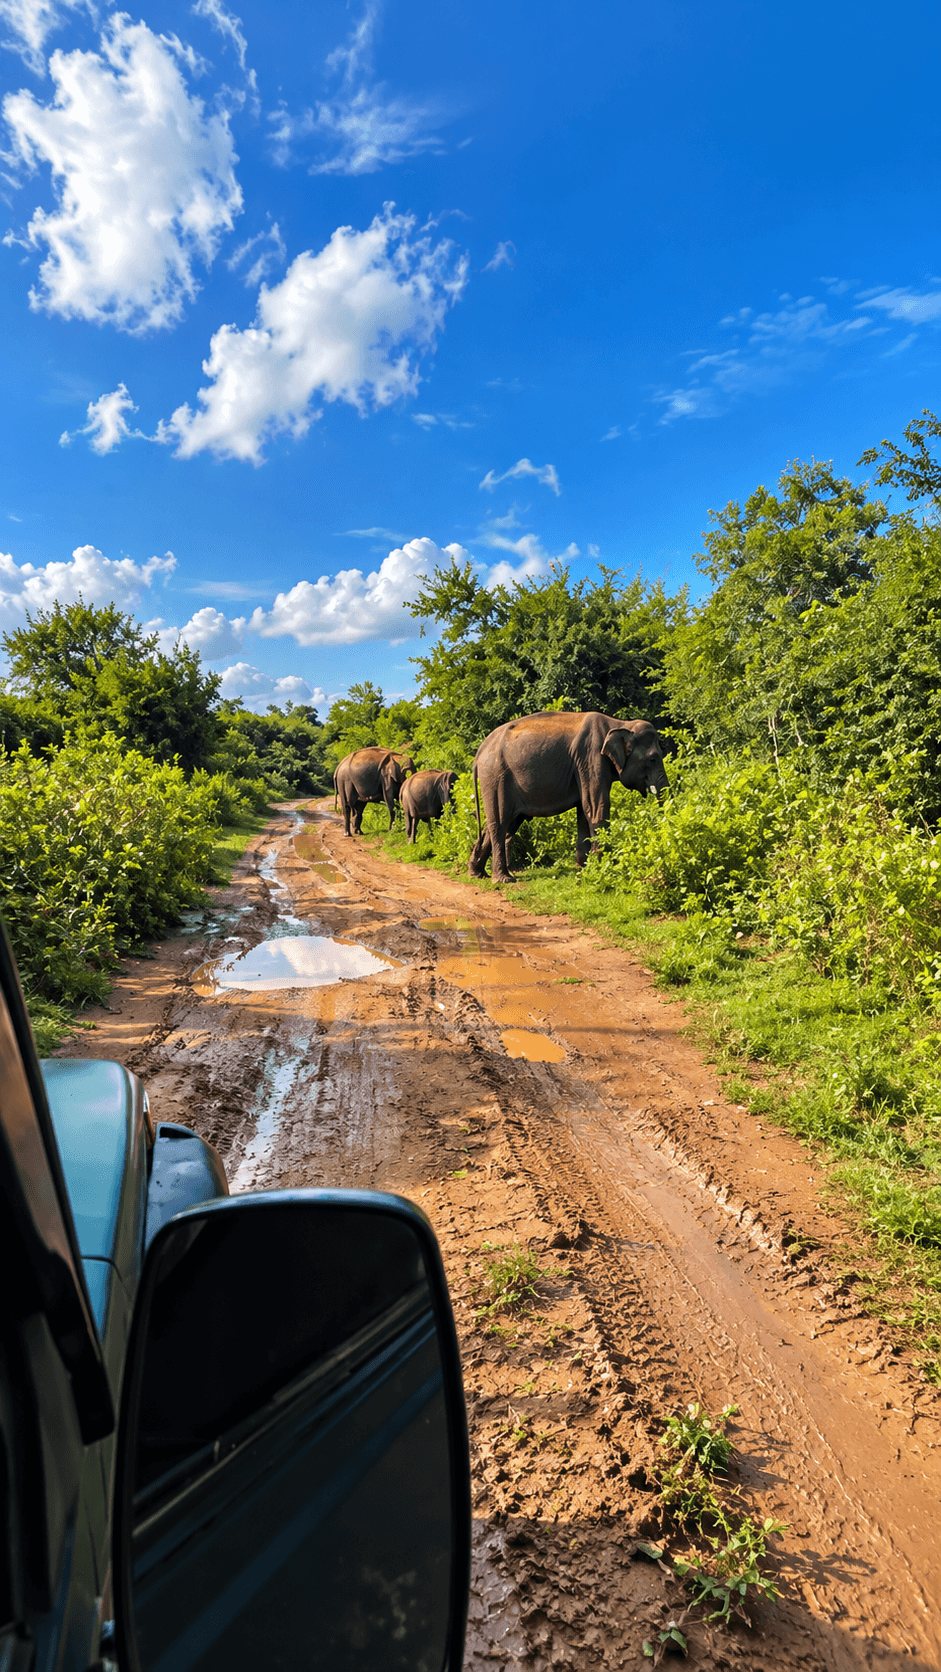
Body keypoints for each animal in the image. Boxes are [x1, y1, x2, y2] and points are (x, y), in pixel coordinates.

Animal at [468, 710, 668, 882]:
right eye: (653, 759)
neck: (620, 724)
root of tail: (480, 751)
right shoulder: (591, 759)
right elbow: (596, 807)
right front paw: (602, 867)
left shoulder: (585, 765)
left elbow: (584, 811)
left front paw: (584, 868)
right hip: (496, 776)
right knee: (500, 822)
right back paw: (504, 879)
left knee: (502, 823)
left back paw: (477, 874)